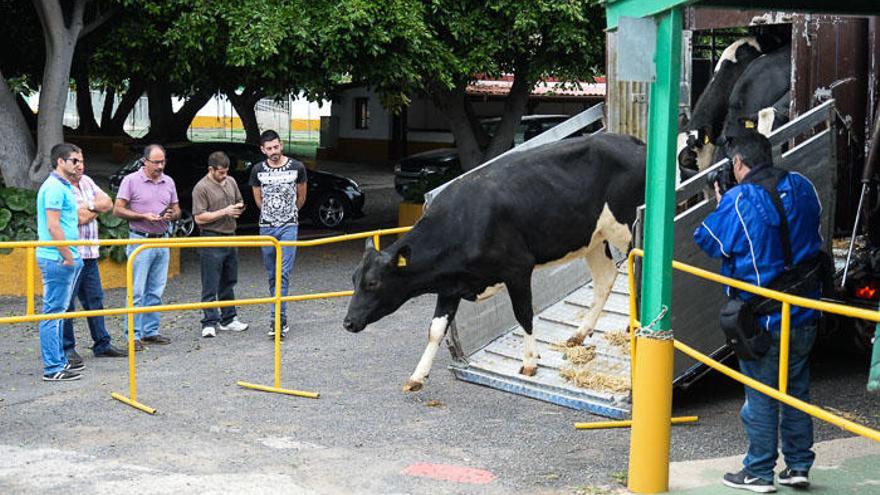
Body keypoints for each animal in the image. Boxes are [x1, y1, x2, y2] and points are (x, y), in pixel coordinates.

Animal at [344, 134, 648, 394]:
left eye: (373, 283)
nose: (348, 322)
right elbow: (435, 331)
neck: (463, 221)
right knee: (606, 277)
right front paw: (417, 376)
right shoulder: (449, 287)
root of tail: (633, 142)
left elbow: (524, 314)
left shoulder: (518, 268)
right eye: (353, 280)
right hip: (593, 238)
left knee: (634, 272)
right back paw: (580, 333)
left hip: (628, 230)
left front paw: (530, 363)